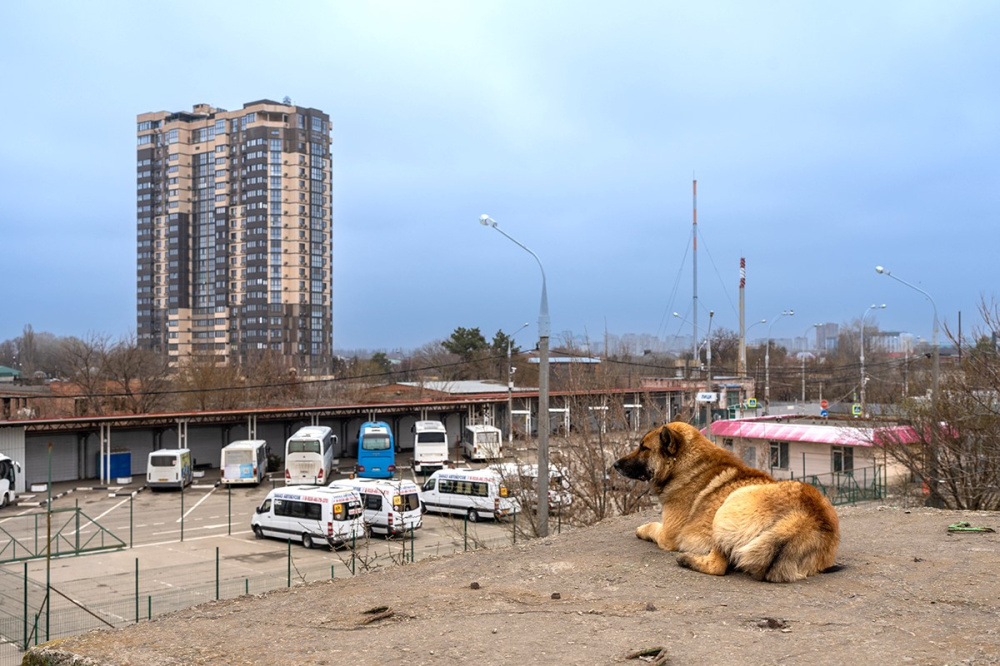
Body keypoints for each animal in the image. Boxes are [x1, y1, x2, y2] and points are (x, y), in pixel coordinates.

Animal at [612, 420, 840, 580]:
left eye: (644, 448)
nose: (614, 465)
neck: (685, 465)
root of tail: (806, 516)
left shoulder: (668, 534)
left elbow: (651, 526)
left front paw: (641, 529)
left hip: (725, 509)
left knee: (718, 566)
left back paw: (687, 560)